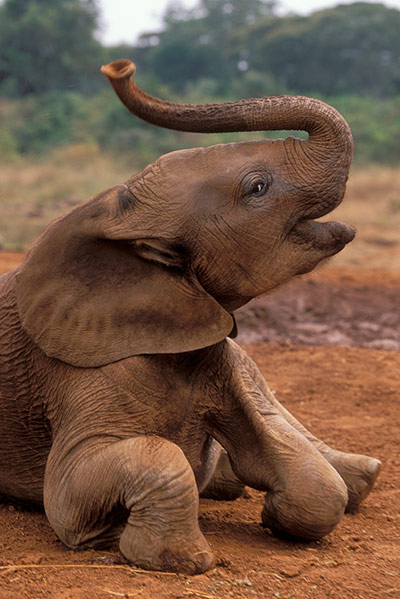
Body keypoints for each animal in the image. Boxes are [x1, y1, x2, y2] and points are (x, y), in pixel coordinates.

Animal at [0, 59, 380, 572]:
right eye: (257, 188)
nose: (118, 68)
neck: (119, 218)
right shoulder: (75, 377)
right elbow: (78, 488)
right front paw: (175, 556)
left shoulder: (219, 363)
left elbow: (312, 481)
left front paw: (273, 514)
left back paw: (364, 476)